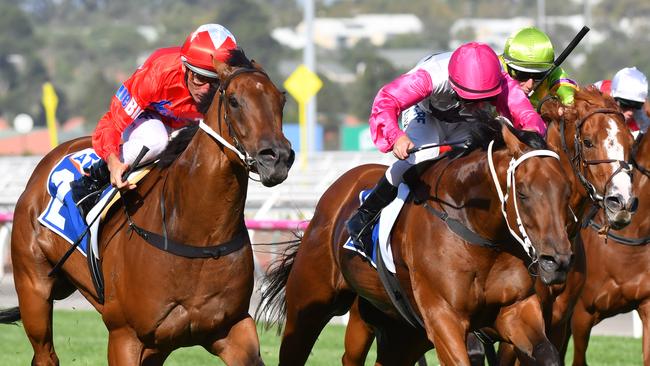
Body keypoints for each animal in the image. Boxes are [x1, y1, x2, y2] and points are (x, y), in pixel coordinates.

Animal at [0, 49, 292, 366]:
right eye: (234, 101)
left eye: (281, 99)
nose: (277, 157)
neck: (197, 235)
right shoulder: (125, 336)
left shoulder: (232, 327)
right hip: (34, 289)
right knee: (45, 353)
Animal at [258, 118, 572, 364]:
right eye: (523, 193)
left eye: (566, 190)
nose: (557, 262)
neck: (477, 232)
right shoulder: (444, 317)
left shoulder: (516, 309)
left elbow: (548, 354)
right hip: (309, 304)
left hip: (399, 328)